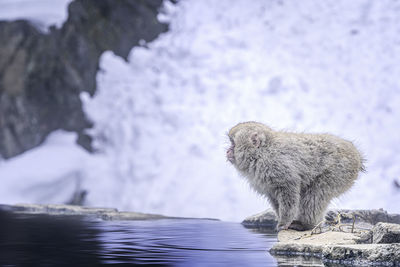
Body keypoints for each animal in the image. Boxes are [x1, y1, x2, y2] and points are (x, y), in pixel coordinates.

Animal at [227, 122, 364, 231]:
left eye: (233, 144)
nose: (228, 151)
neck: (261, 153)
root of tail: (357, 155)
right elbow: (274, 196)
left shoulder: (276, 165)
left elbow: (288, 190)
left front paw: (284, 222)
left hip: (339, 171)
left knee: (315, 195)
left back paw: (307, 224)